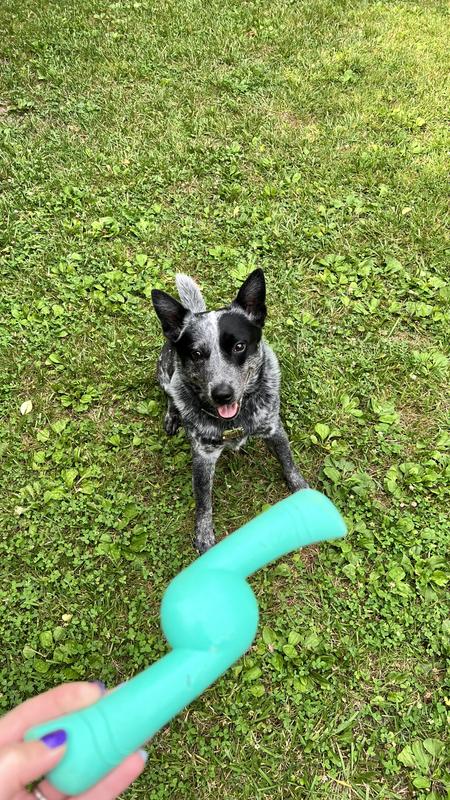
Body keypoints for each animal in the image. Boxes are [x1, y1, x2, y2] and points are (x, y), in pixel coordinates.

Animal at [153, 268, 308, 552]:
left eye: (239, 346)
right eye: (196, 354)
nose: (222, 393)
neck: (234, 424)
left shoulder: (273, 428)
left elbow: (289, 463)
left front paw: (302, 490)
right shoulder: (203, 456)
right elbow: (203, 502)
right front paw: (204, 535)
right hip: (165, 373)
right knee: (170, 394)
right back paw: (173, 415)